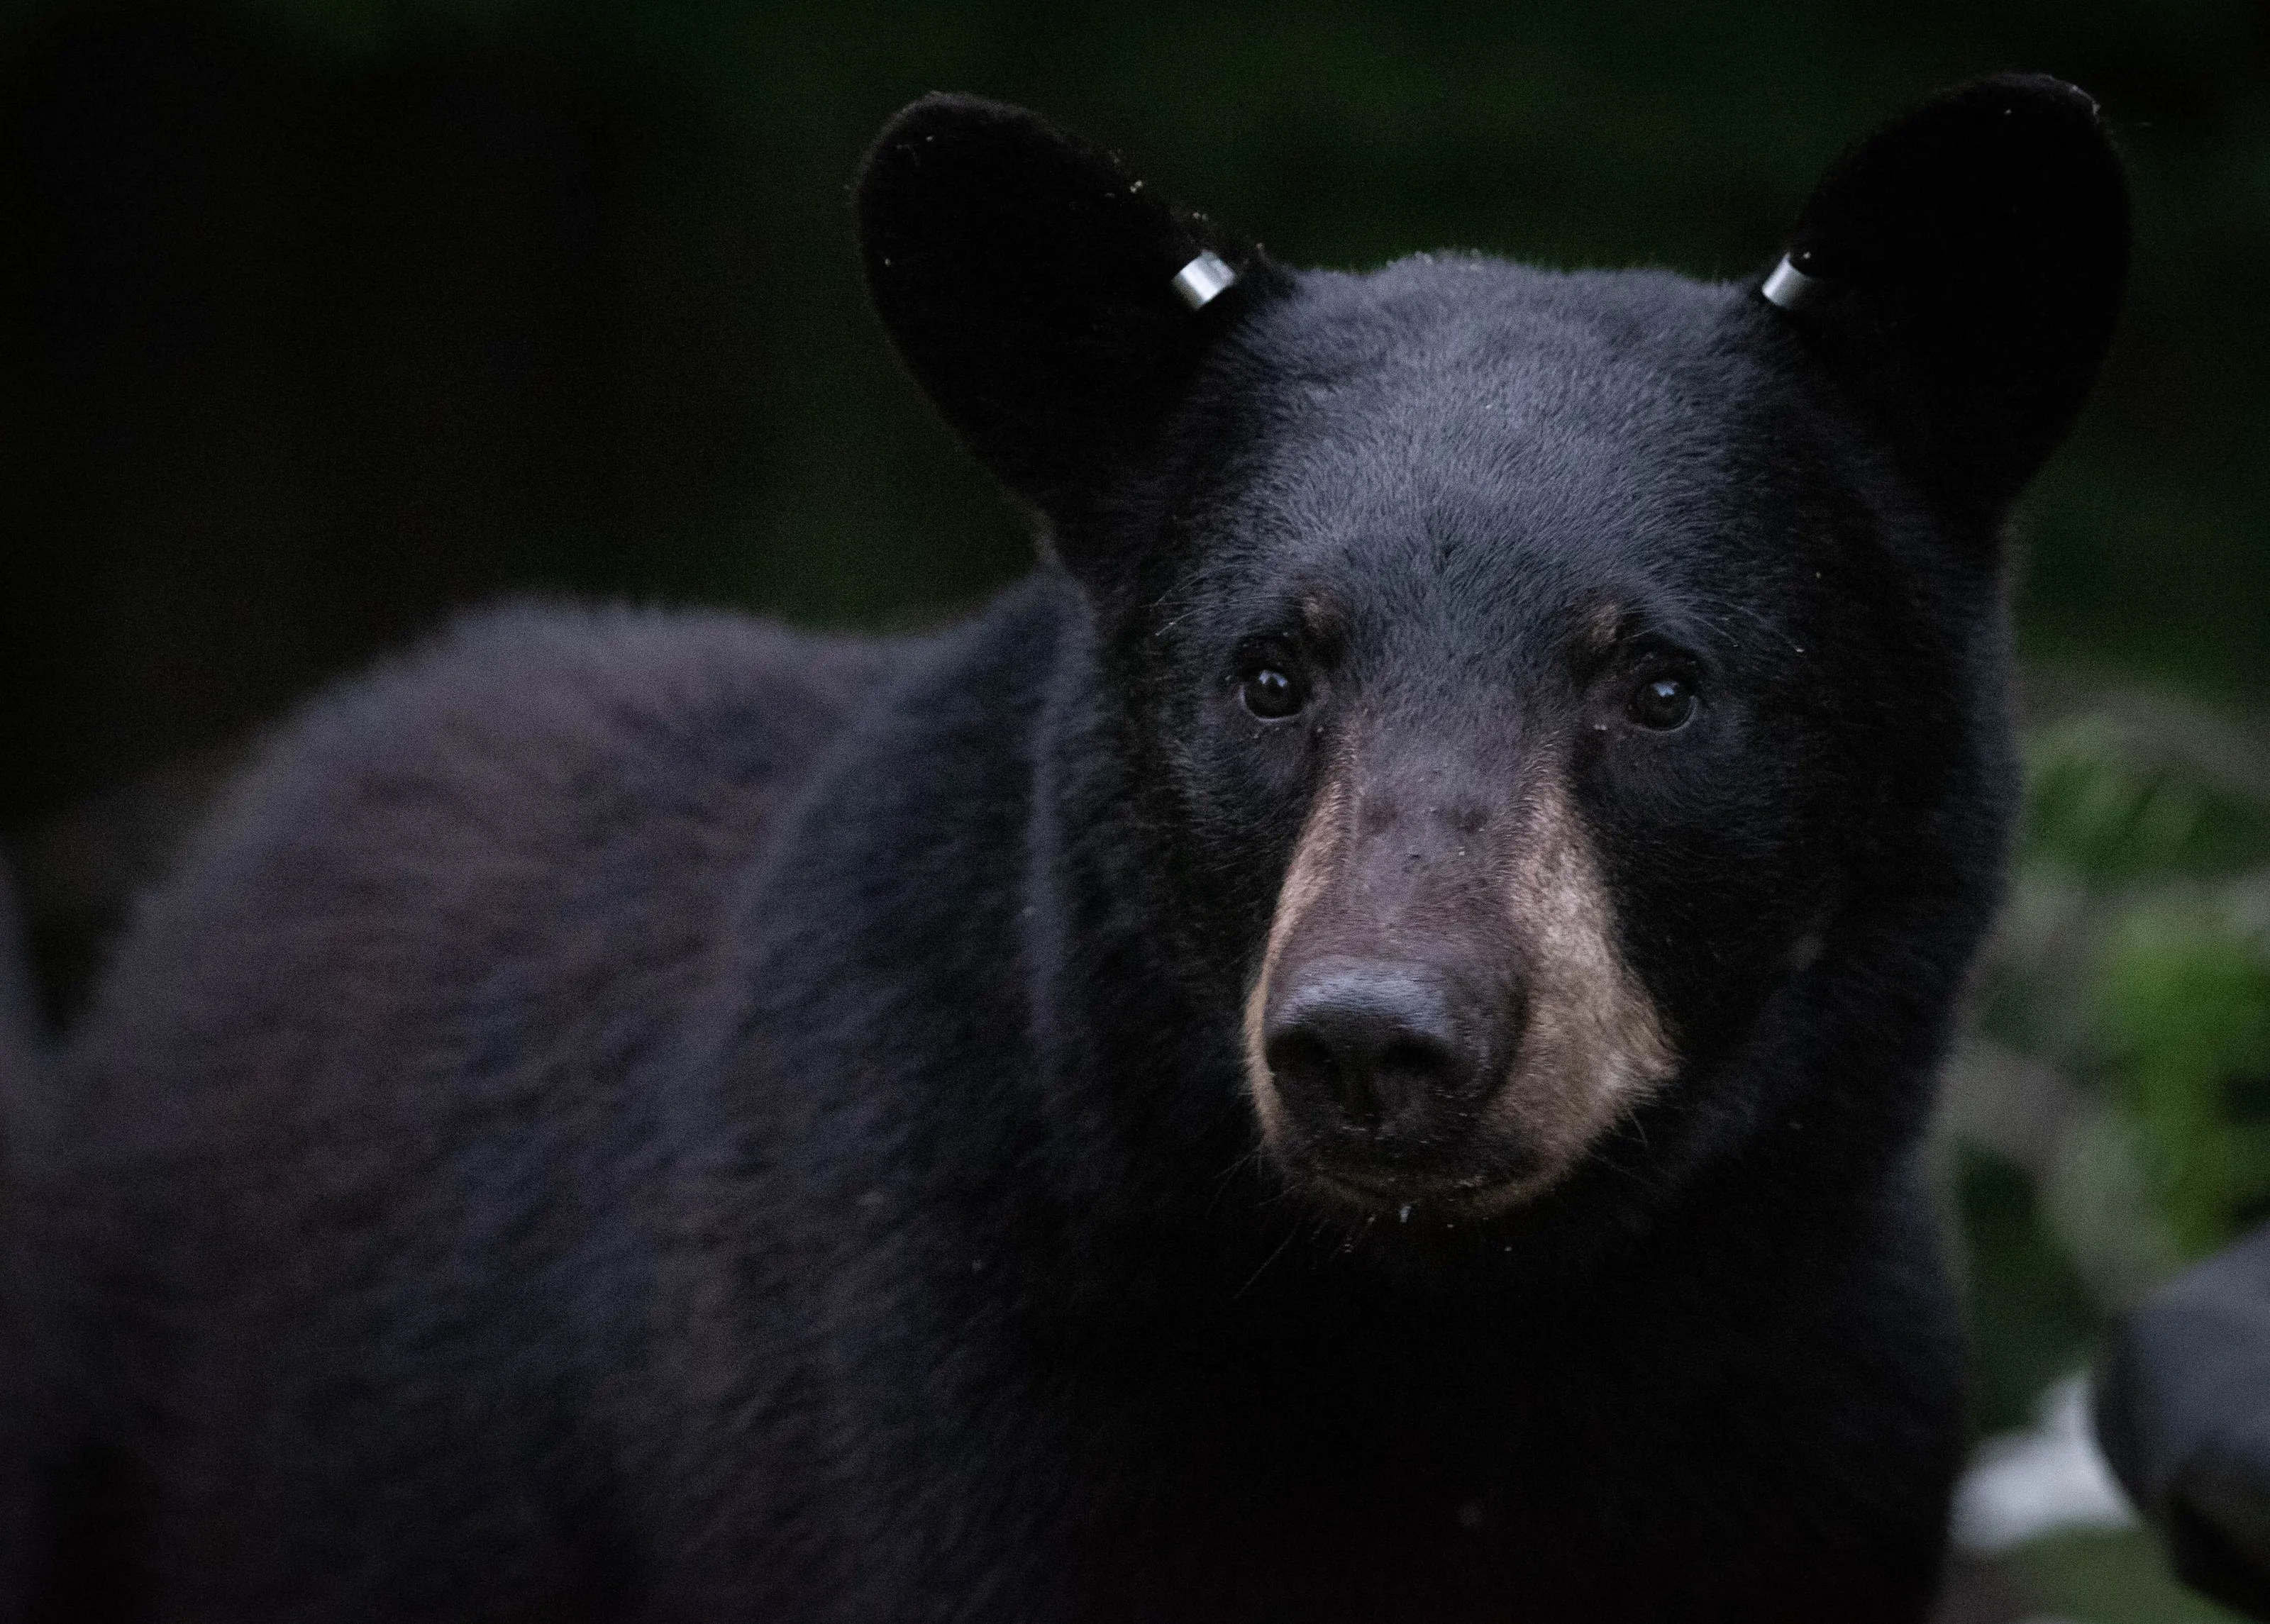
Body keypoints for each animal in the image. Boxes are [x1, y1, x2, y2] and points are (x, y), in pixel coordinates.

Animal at [5, 75, 2128, 1622]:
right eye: (1269, 670)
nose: (1377, 1040)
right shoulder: (946, 1418)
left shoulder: (1806, 1437)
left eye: (1662, 685)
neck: (1473, 1339)